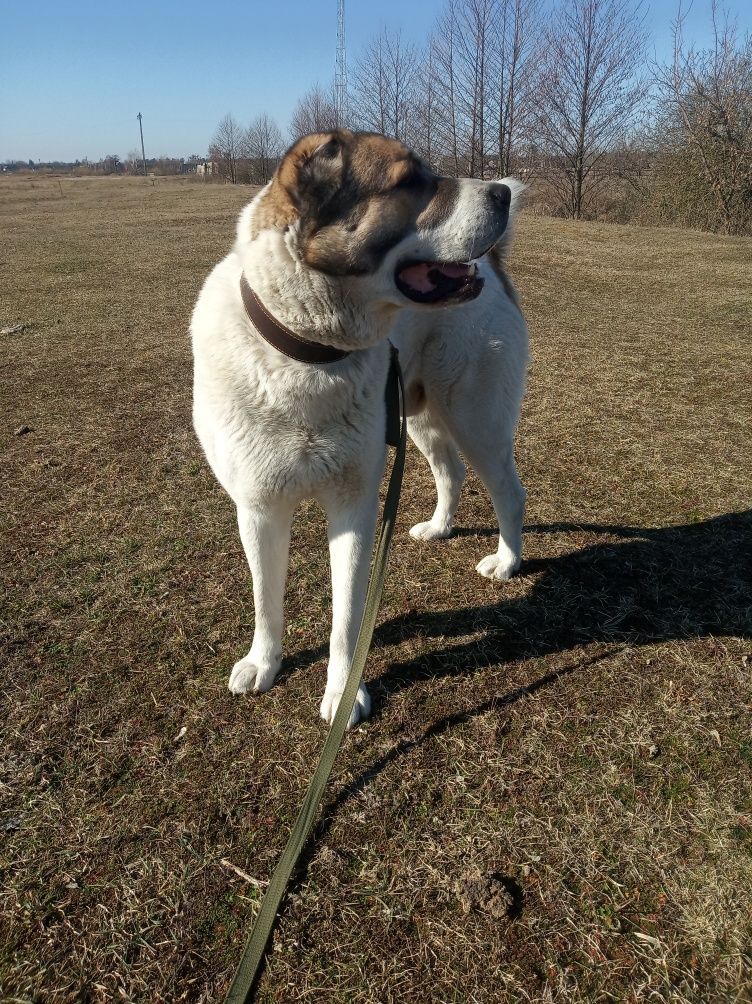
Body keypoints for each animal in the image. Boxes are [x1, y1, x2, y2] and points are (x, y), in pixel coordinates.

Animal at [190, 129, 526, 726]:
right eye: (410, 181)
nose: (501, 195)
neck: (309, 356)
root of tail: (493, 268)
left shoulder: (353, 508)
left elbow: (347, 614)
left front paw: (344, 692)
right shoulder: (259, 508)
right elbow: (265, 597)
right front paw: (264, 662)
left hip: (476, 420)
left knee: (508, 492)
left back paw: (507, 562)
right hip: (419, 417)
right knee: (451, 472)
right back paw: (439, 527)